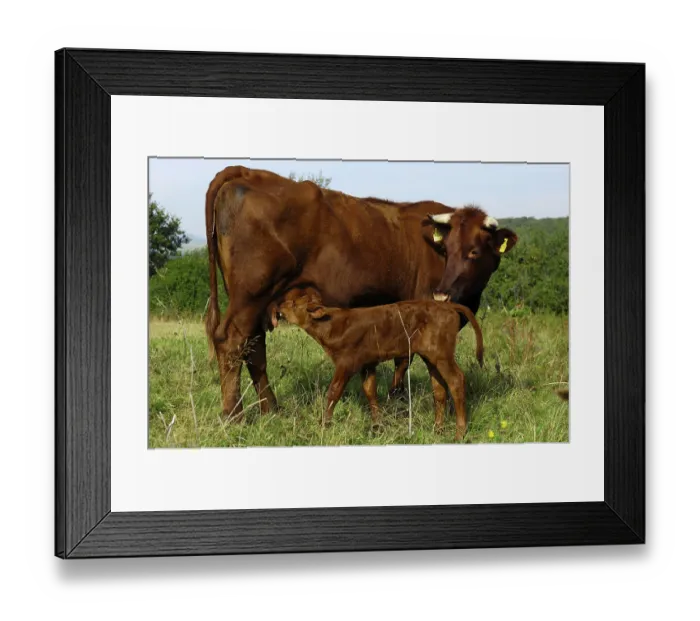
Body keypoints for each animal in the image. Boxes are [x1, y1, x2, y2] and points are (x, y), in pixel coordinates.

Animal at [205, 165, 517, 421]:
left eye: (474, 251)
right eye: (446, 249)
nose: (442, 295)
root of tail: (248, 172)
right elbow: (405, 359)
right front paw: (399, 402)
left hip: (256, 302)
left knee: (254, 348)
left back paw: (271, 410)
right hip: (250, 296)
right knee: (232, 344)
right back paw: (234, 416)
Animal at [270, 288, 484, 440]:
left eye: (294, 303)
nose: (278, 307)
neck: (331, 325)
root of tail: (447, 306)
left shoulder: (346, 363)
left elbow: (333, 392)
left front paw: (324, 425)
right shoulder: (368, 364)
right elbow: (370, 392)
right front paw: (377, 427)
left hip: (442, 354)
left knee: (456, 380)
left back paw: (459, 433)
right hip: (431, 357)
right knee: (439, 389)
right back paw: (437, 429)